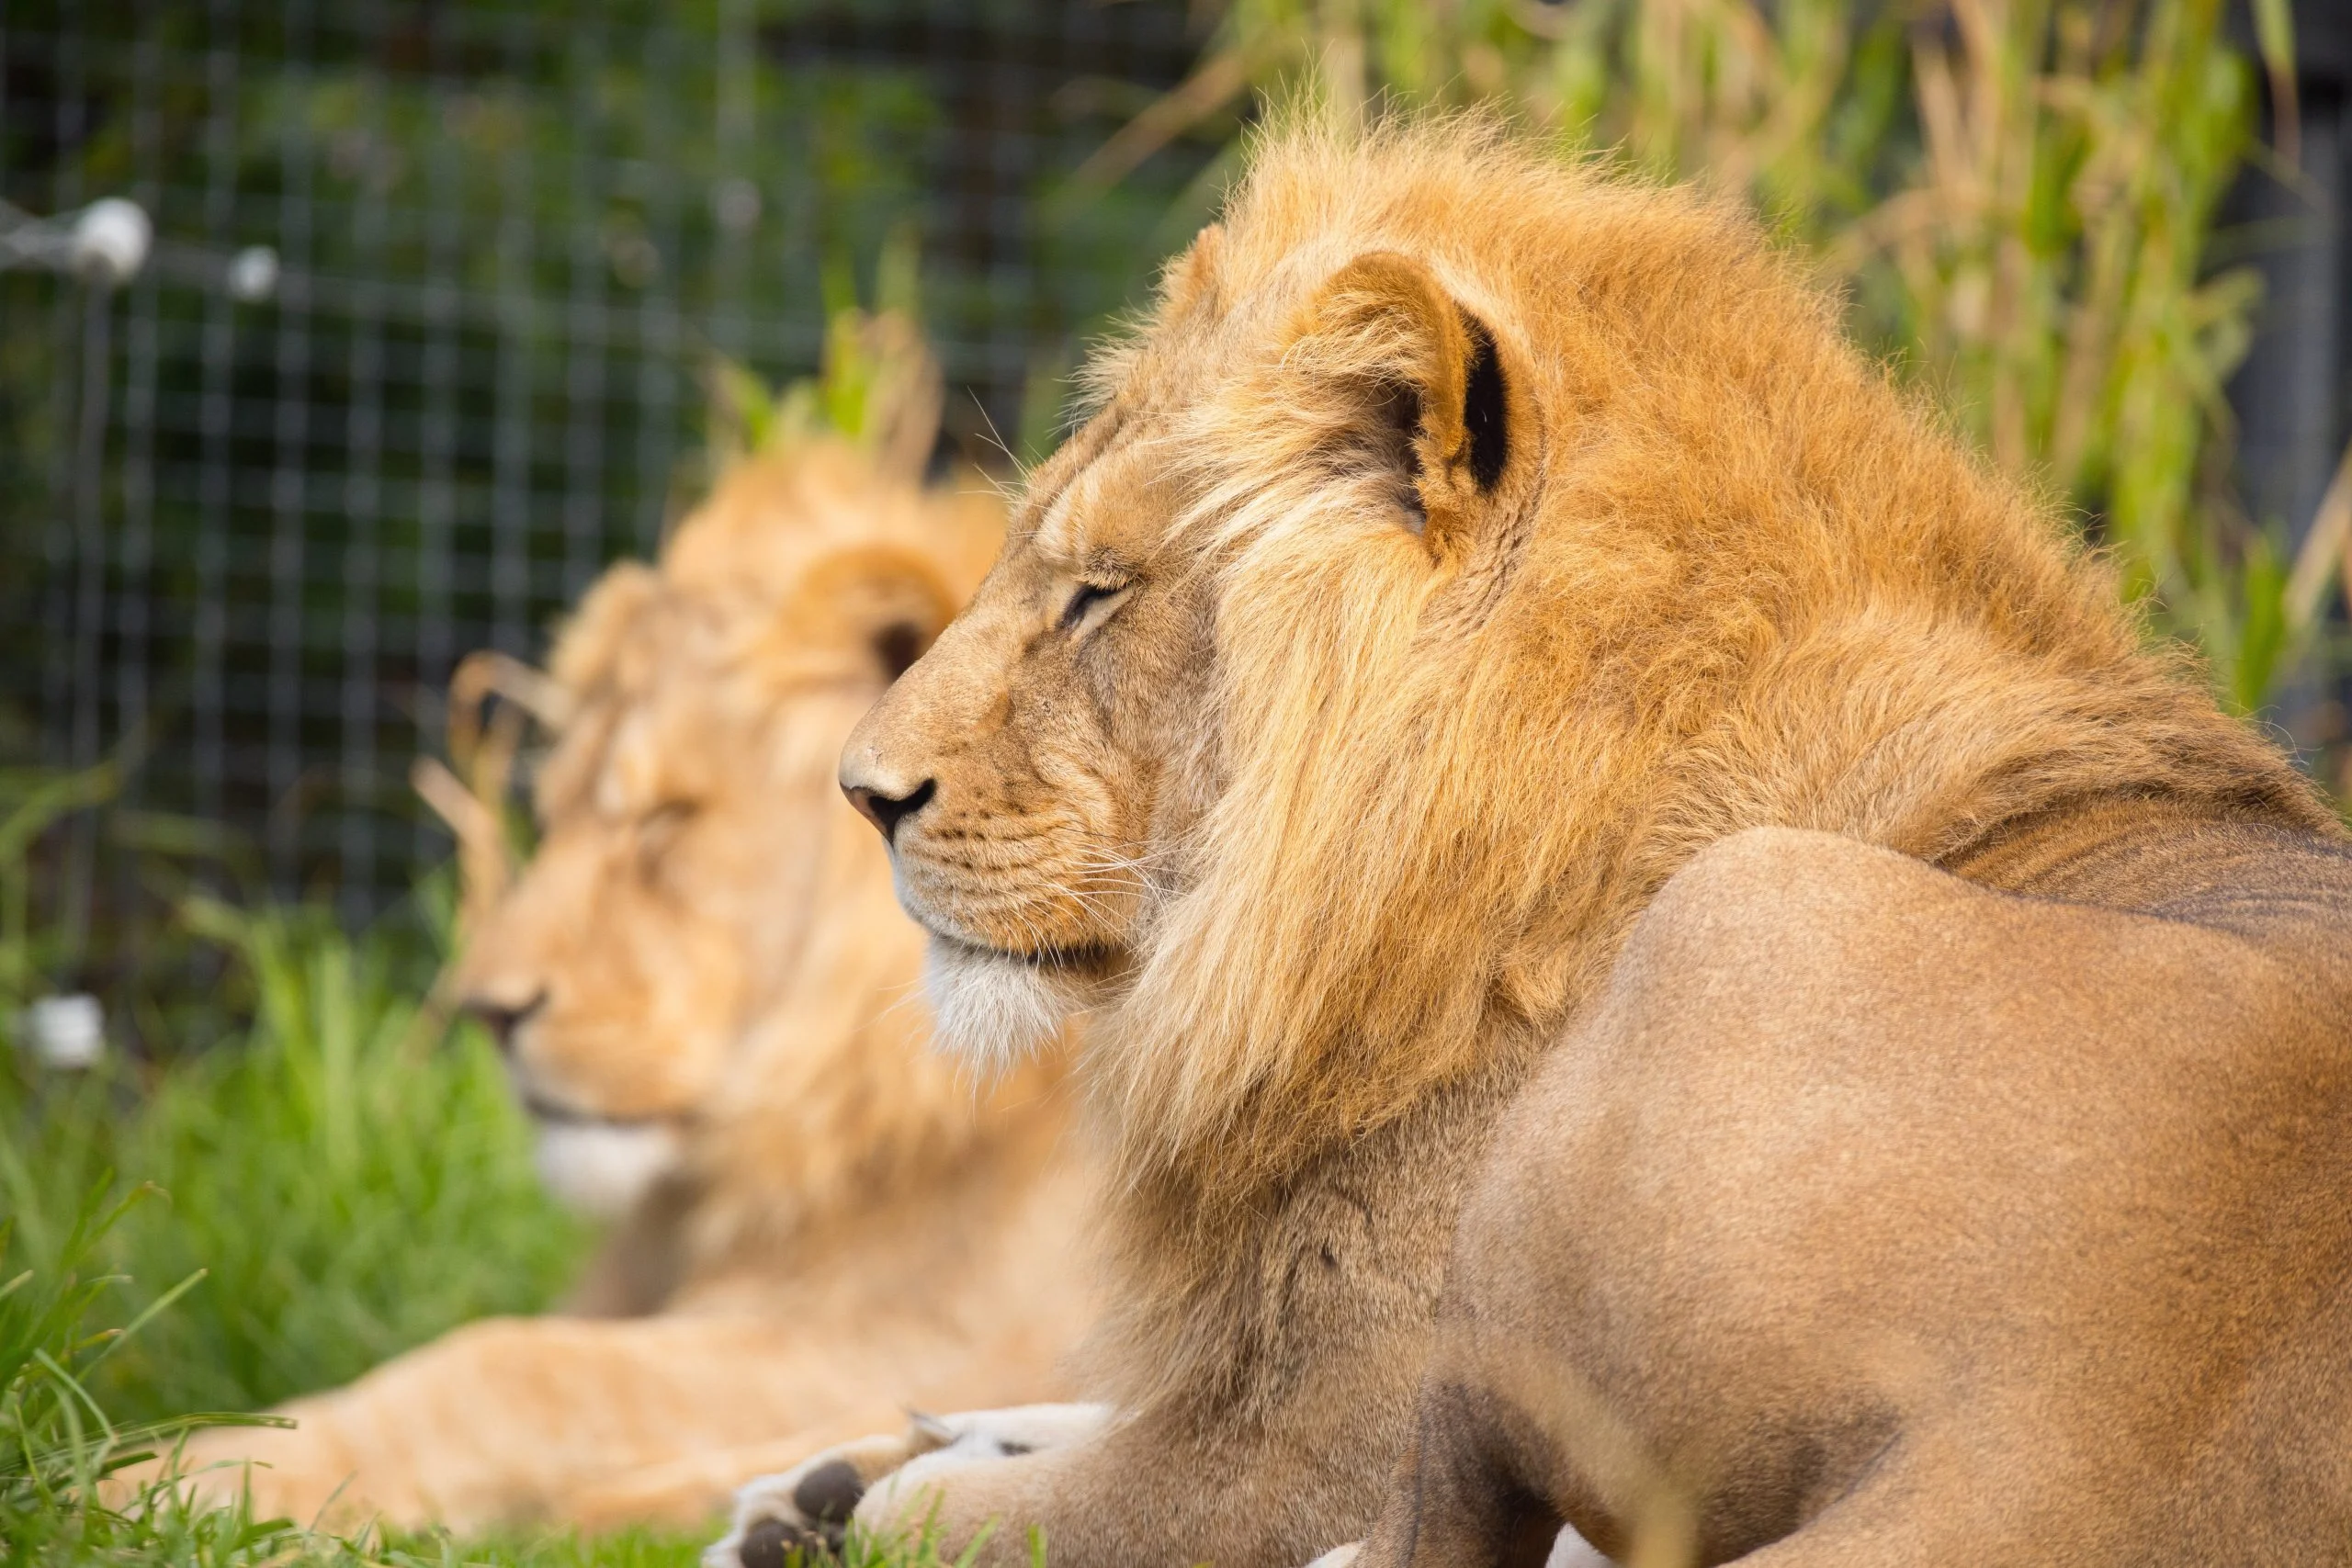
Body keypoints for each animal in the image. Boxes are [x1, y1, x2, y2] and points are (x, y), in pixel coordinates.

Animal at [165, 314, 1101, 1532]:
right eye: (557, 810)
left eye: (663, 819)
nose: (485, 1010)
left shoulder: (904, 1336)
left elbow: (507, 1367)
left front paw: (148, 1481)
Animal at [706, 113, 2352, 1568]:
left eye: (1099, 594)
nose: (864, 792)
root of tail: (2122, 1390)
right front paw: (831, 1470)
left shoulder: (1300, 1440)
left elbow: (1040, 1504)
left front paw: (868, 1494)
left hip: (1724, 943)